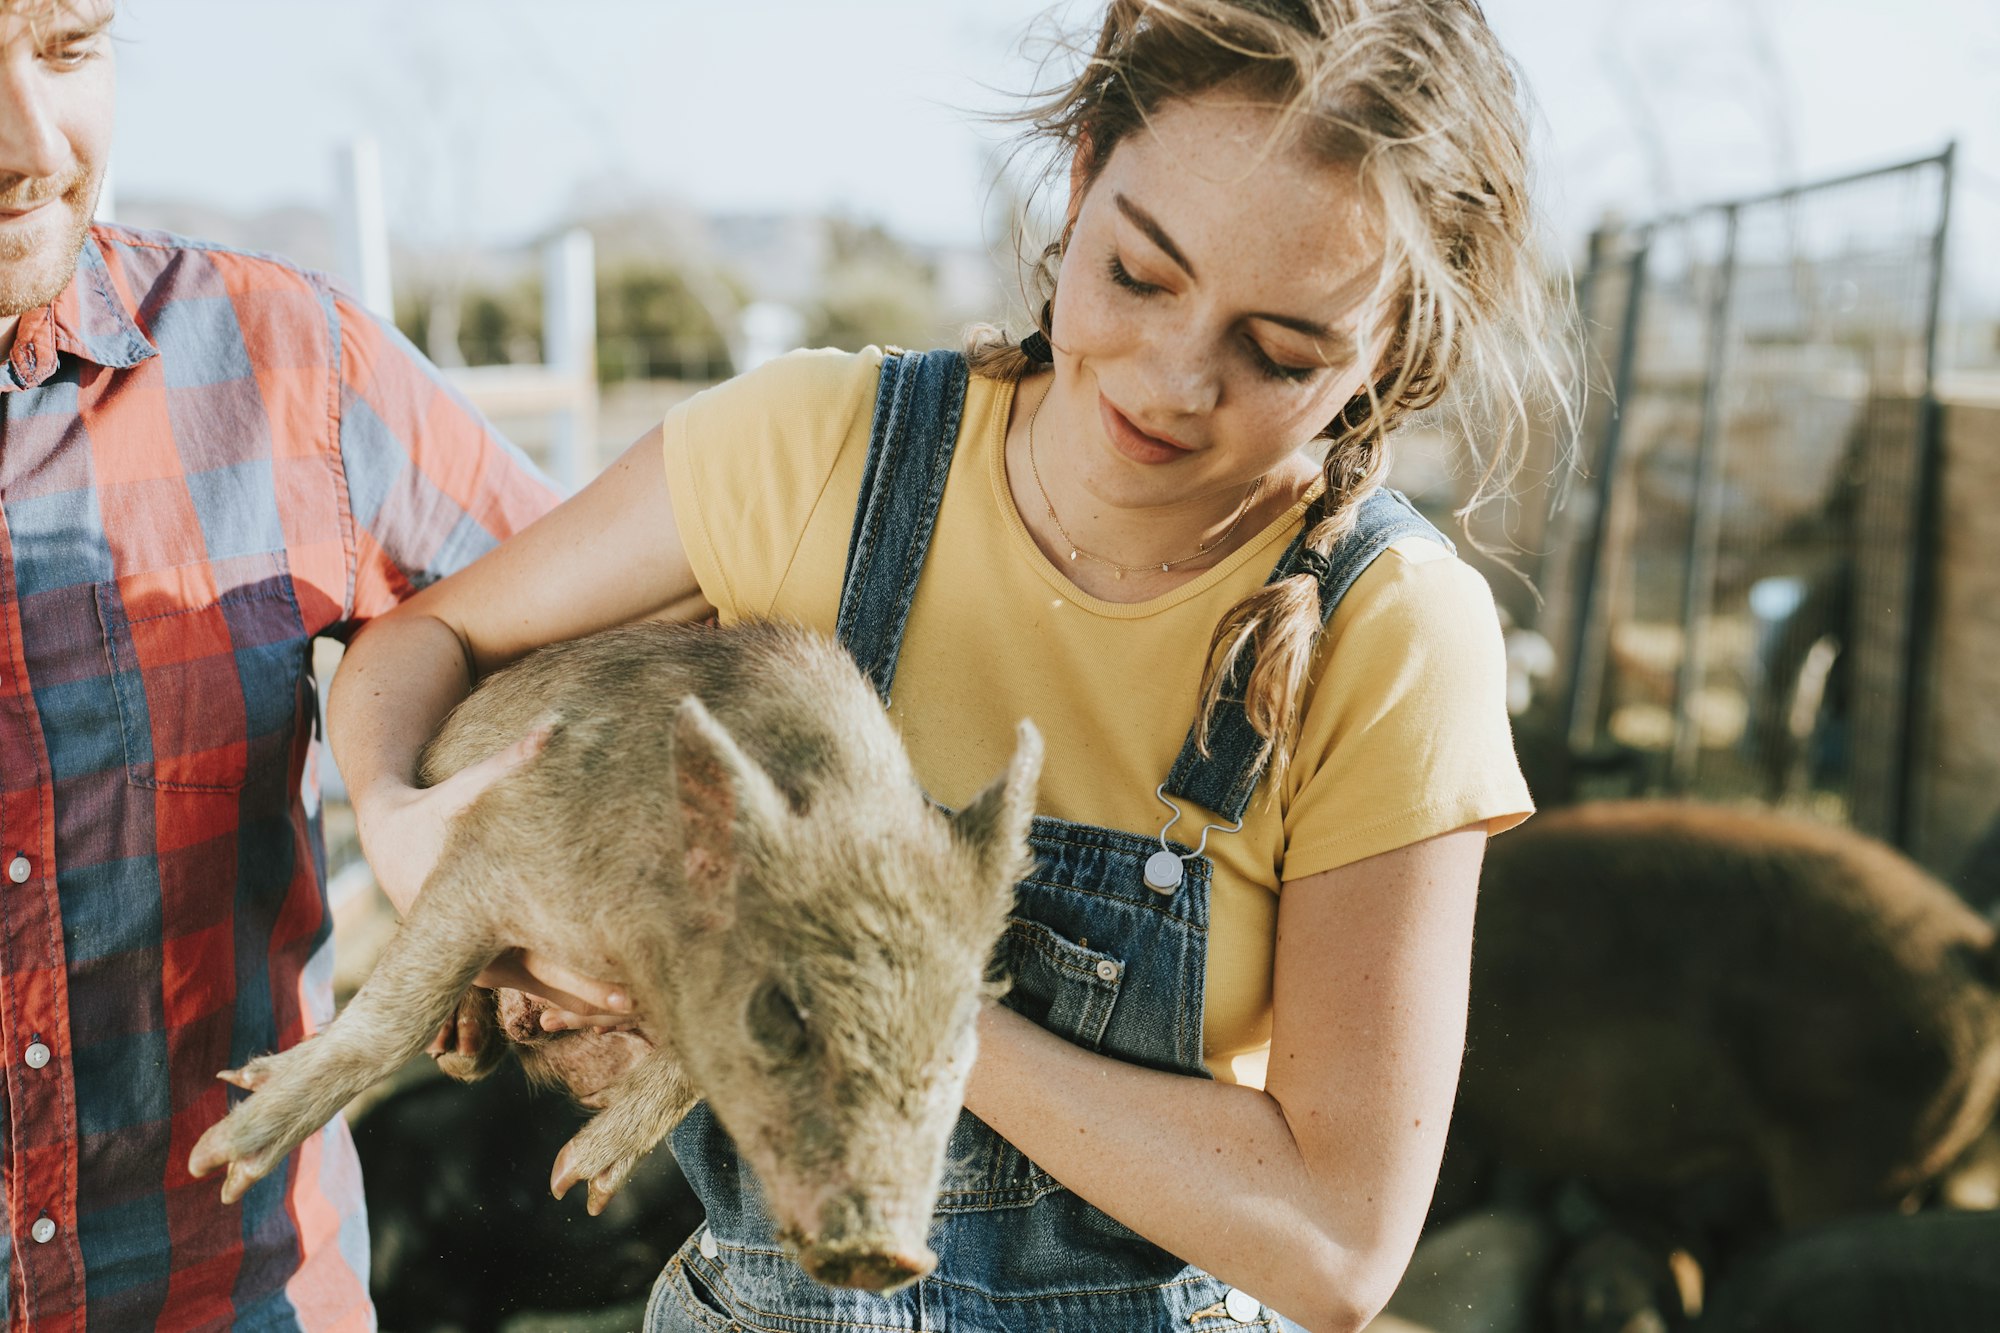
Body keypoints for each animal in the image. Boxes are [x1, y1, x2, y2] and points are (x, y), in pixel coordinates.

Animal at [184, 620, 1048, 1288]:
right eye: (783, 1011)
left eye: (960, 1037)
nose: (884, 1252)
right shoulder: (504, 841)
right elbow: (396, 1015)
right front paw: (217, 1160)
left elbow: (683, 1071)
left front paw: (574, 1181)